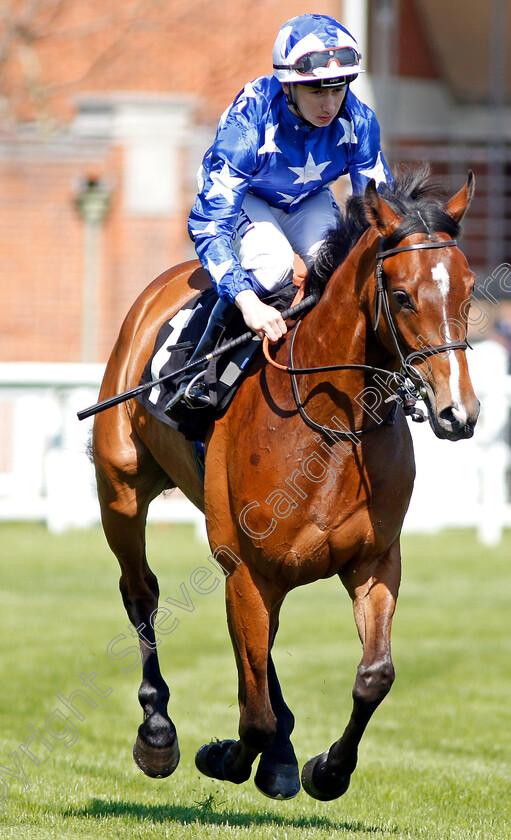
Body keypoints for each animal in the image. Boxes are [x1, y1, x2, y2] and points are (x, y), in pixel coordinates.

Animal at [92, 166, 480, 800]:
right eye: (401, 295)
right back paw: (158, 732)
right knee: (141, 592)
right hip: (120, 492)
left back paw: (279, 756)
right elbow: (253, 717)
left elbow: (374, 676)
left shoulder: (373, 561)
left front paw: (327, 769)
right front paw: (222, 756)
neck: (333, 428)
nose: (459, 413)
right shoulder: (247, 567)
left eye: (468, 290)